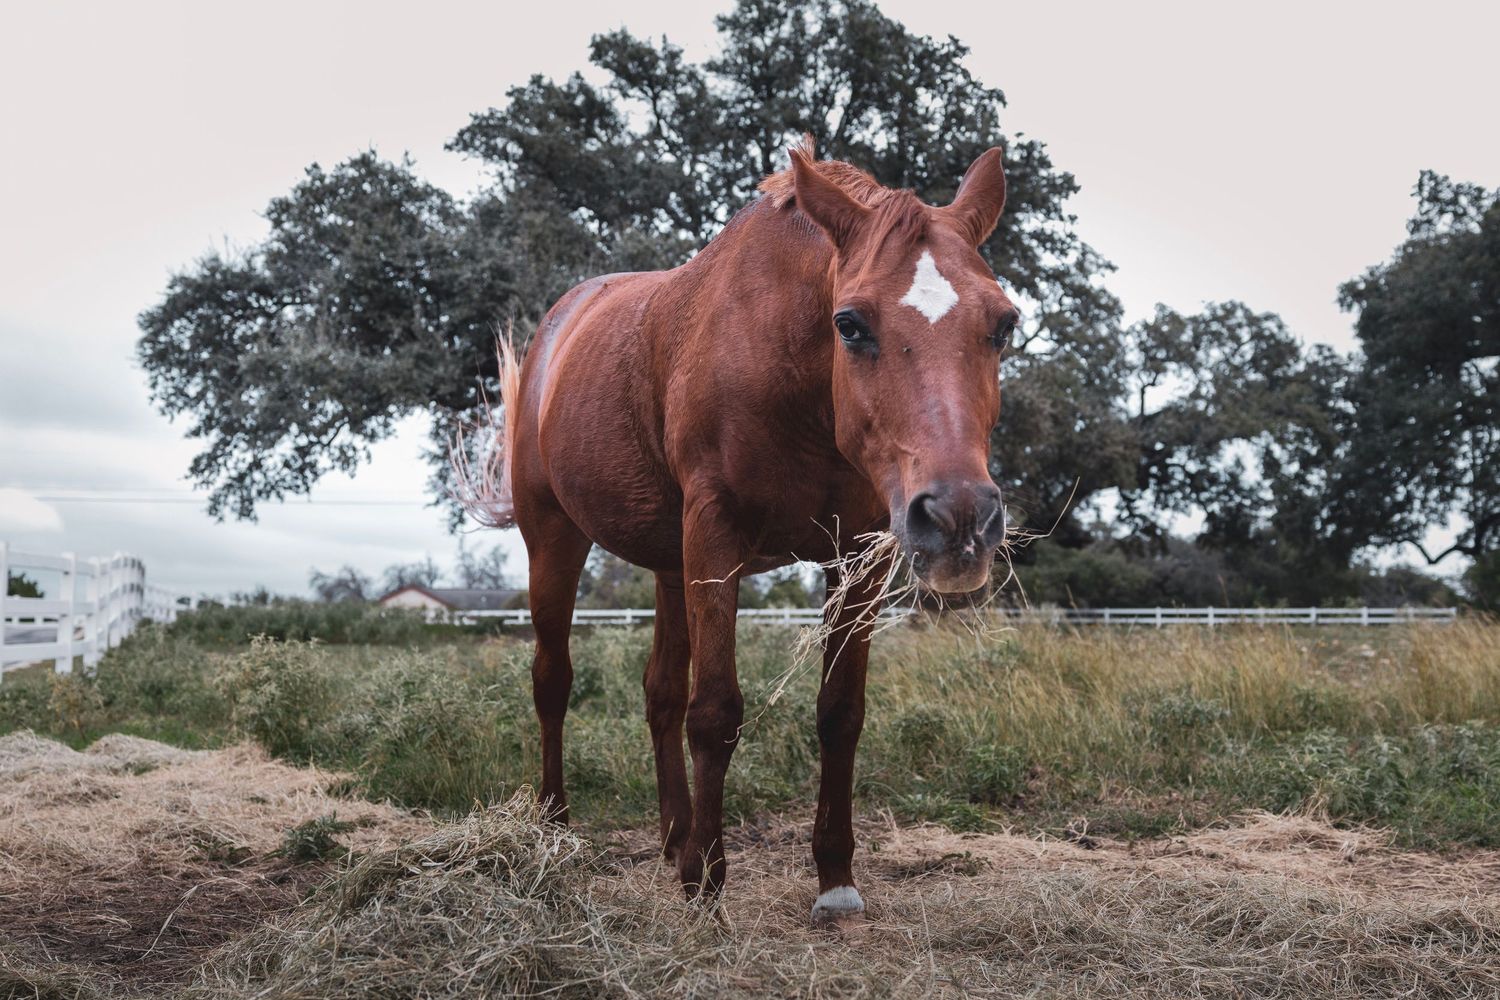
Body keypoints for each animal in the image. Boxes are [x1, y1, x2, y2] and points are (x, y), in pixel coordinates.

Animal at [461, 141, 1017, 923]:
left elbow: (840, 713)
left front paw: (833, 877)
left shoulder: (858, 556)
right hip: (555, 539)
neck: (793, 370)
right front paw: (707, 882)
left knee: (659, 691)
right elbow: (716, 711)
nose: (959, 520)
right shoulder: (716, 535)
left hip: (670, 564)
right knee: (553, 681)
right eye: (851, 324)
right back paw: (555, 826)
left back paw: (673, 836)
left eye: (1003, 324)